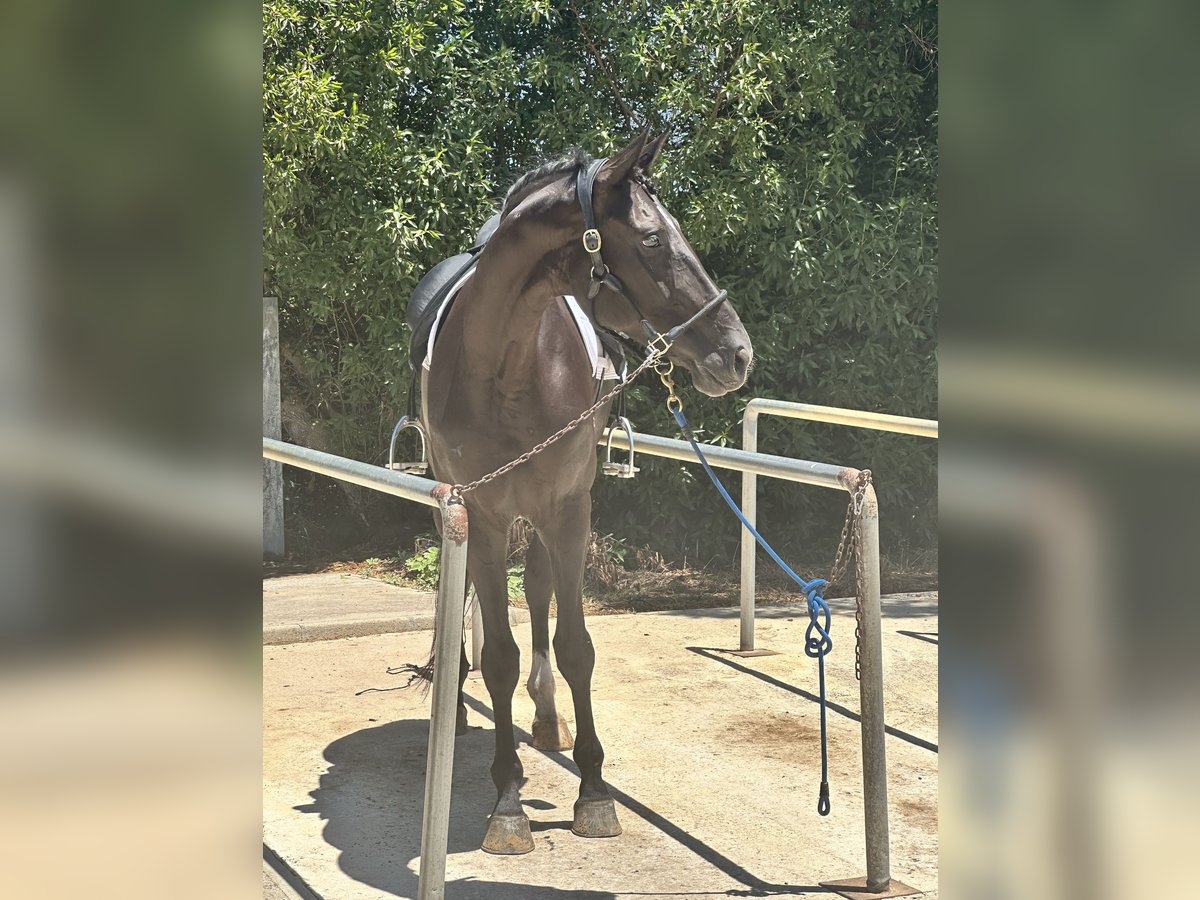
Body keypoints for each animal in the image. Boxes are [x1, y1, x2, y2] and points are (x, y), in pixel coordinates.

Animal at [420, 130, 748, 854]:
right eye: (652, 239)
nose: (738, 352)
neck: (505, 366)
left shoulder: (570, 510)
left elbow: (574, 645)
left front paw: (594, 790)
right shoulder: (482, 511)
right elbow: (500, 655)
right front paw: (508, 801)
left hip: (546, 514)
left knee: (541, 590)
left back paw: (547, 718)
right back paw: (455, 705)